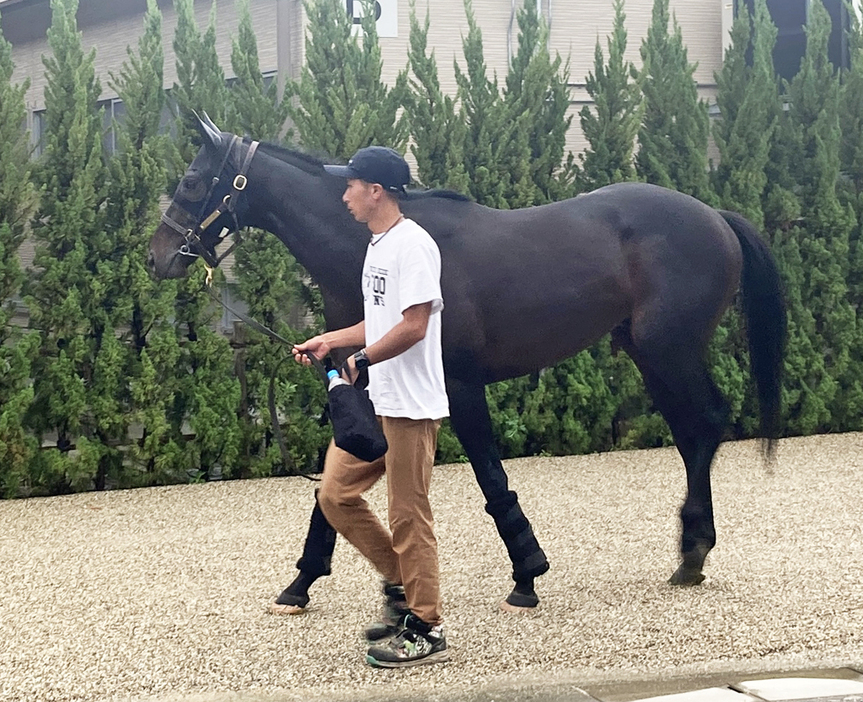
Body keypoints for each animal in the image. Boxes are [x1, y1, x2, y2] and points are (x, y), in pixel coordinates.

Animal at [150, 114, 788, 612]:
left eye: (191, 179)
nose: (158, 256)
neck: (373, 251)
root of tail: (715, 216)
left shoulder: (458, 384)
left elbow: (490, 475)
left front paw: (527, 573)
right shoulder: (365, 382)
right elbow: (331, 487)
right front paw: (301, 580)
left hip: (668, 350)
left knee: (706, 424)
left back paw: (693, 552)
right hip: (648, 353)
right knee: (691, 431)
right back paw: (691, 550)